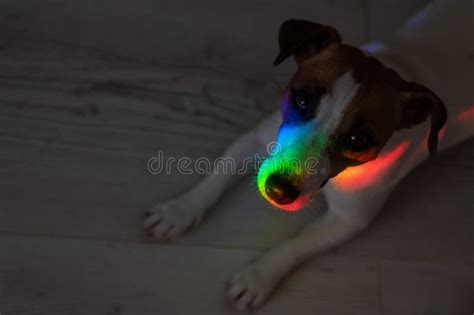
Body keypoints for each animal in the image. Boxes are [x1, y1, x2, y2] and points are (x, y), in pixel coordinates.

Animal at [143, 0, 474, 312]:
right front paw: (180, 210)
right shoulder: (258, 140)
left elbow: (296, 245)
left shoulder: (348, 219)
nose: (278, 190)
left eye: (358, 139)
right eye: (302, 99)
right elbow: (216, 178)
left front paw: (258, 276)